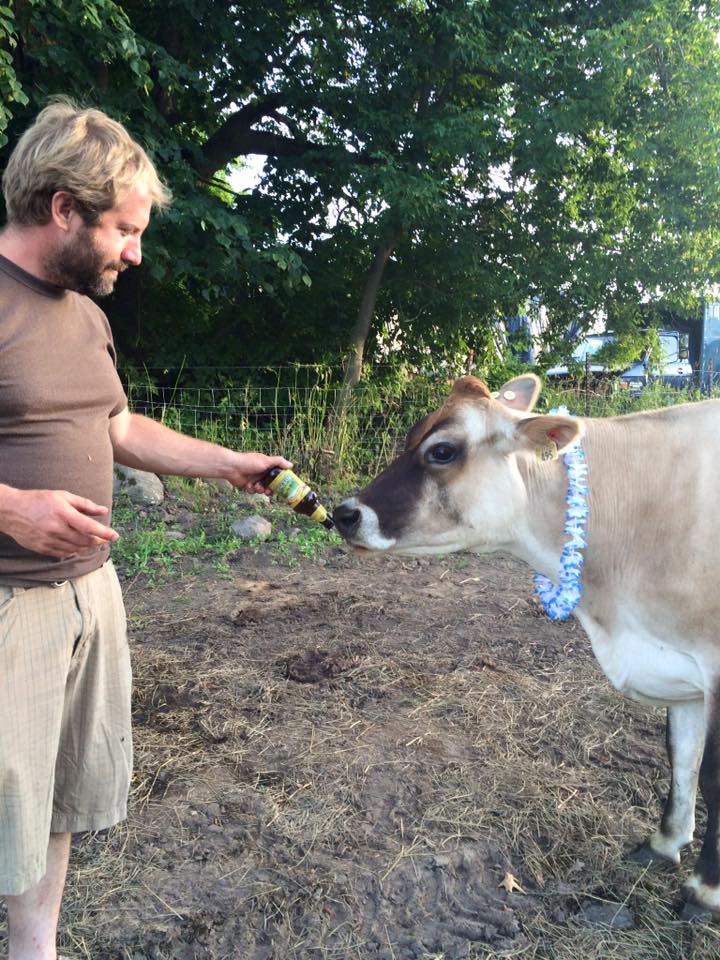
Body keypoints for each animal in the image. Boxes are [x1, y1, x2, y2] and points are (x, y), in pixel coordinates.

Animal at [334, 372, 720, 920]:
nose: (344, 513)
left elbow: (712, 775)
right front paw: (664, 844)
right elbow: (681, 756)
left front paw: (703, 891)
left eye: (443, 450)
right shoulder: (676, 663)